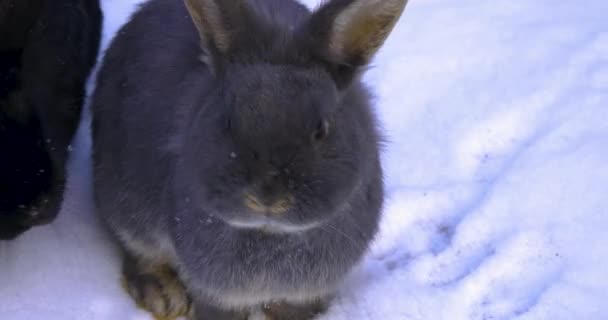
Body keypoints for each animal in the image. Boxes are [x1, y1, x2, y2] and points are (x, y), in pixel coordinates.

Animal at [92, 0, 406, 318]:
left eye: (321, 129)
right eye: (228, 121)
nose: (267, 197)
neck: (271, 232)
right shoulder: (218, 293)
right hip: (125, 206)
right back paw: (164, 296)